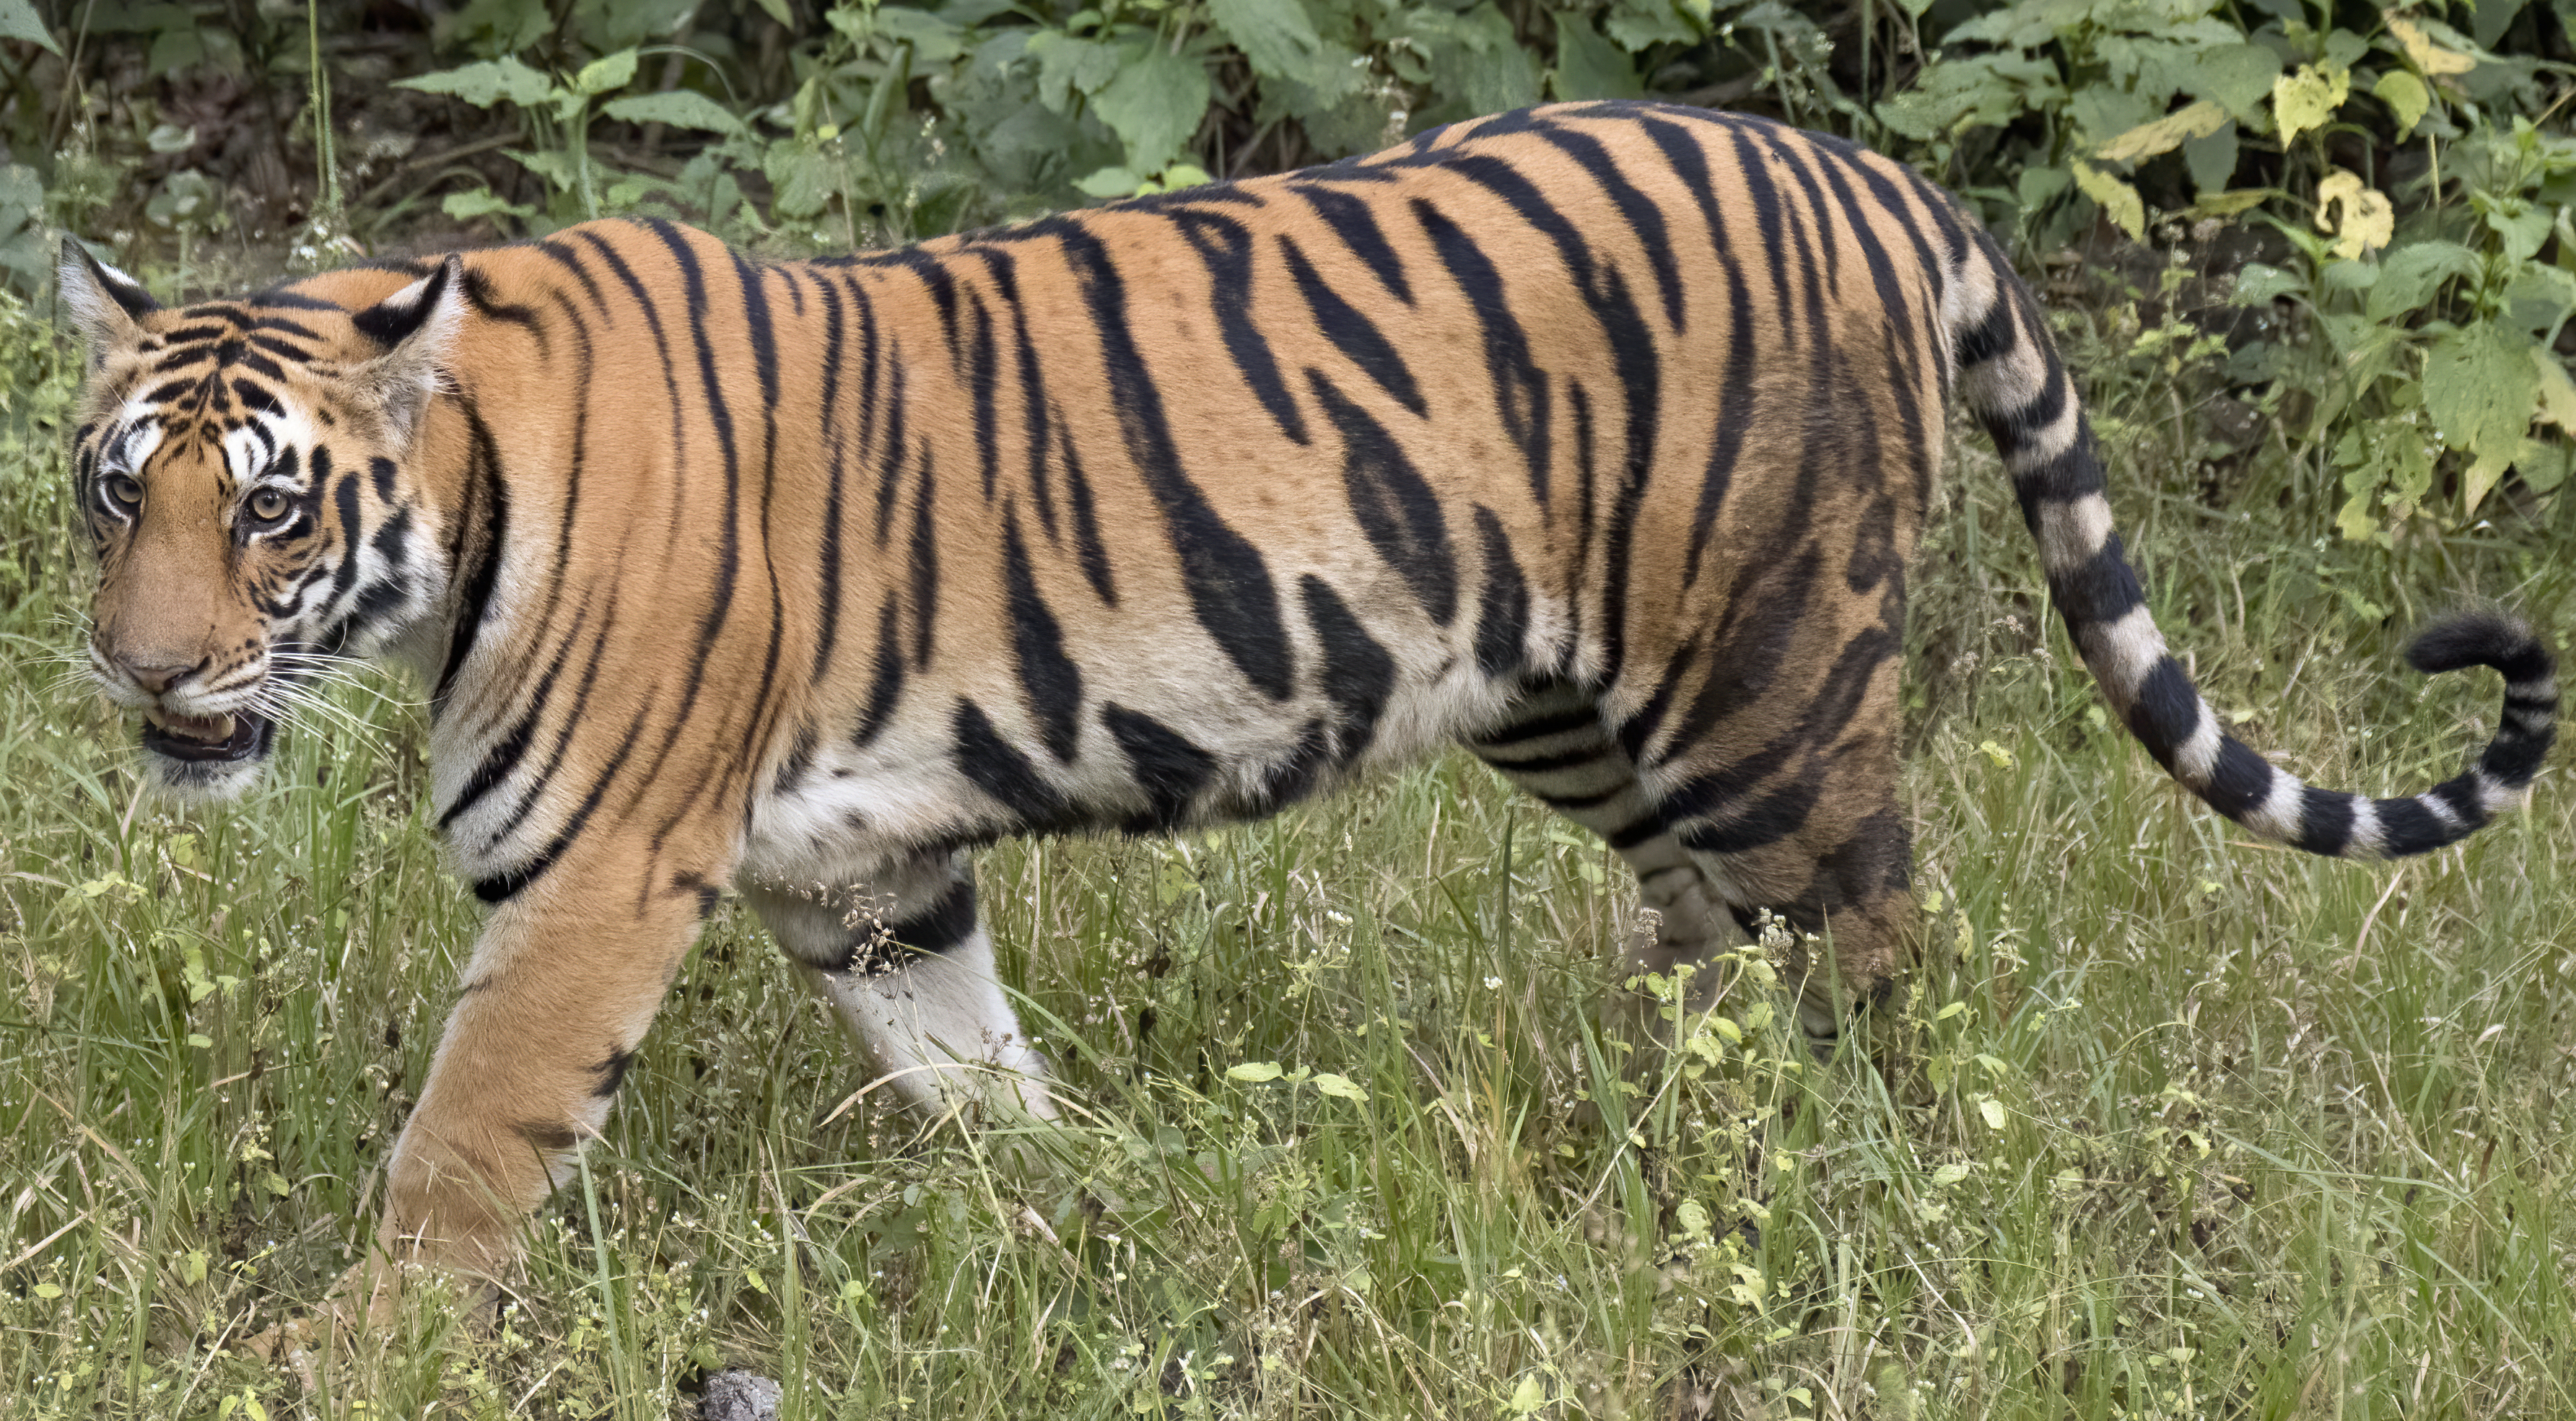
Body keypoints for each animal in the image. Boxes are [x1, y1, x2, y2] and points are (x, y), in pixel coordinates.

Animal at [60, 102, 2555, 1318]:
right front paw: (1085, 1210)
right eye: (113, 488)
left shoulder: (592, 878)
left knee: (1872, 949)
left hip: (1766, 677)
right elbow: (974, 1070)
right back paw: (1655, 1143)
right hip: (1572, 701)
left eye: (270, 510)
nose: (146, 669)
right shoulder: (864, 869)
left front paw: (351, 1355)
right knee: (1710, 940)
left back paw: (1867, 1194)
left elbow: (464, 1141)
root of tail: (1869, 175)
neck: (457, 516)